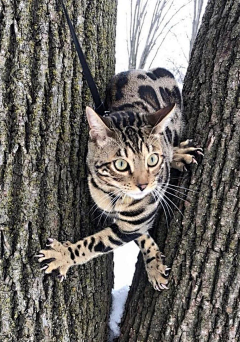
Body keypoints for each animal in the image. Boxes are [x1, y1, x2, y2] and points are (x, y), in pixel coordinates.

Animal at [37, 68, 202, 290]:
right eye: (121, 164)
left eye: (152, 159)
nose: (143, 186)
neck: (112, 193)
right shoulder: (130, 220)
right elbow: (141, 235)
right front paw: (154, 263)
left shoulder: (136, 219)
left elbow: (95, 243)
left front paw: (62, 255)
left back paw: (180, 154)